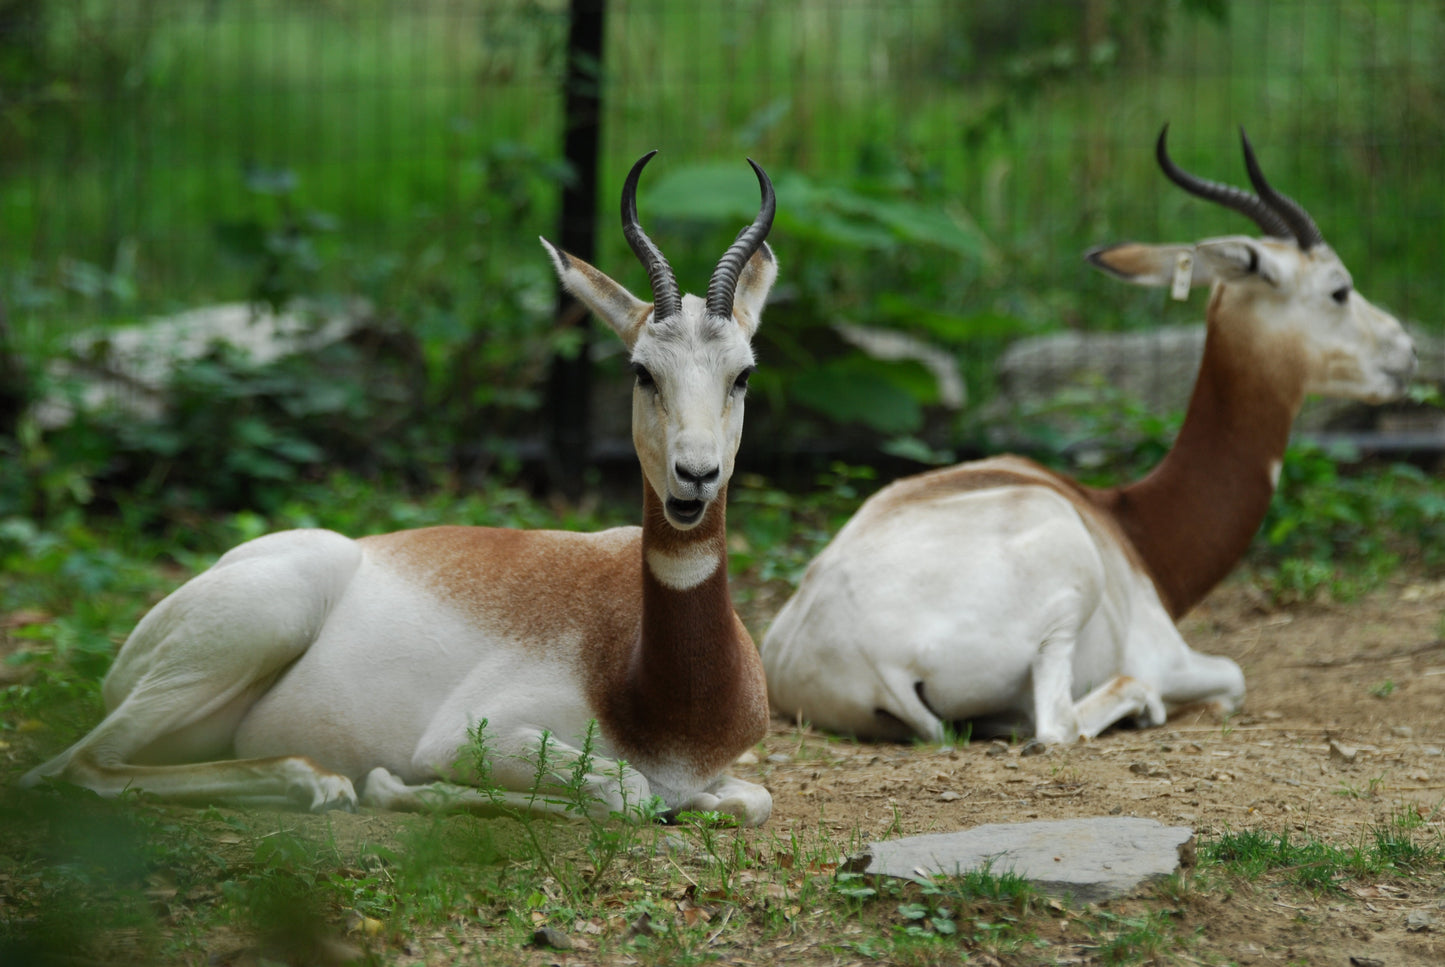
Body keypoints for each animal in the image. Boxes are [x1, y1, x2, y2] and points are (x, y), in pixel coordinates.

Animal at [20, 152, 778, 825]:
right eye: (641, 371)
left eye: (742, 373)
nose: (695, 476)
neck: (649, 688)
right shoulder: (473, 734)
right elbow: (624, 790)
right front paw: (405, 787)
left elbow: (749, 800)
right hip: (263, 616)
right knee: (69, 768)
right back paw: (323, 782)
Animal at [761, 128, 1417, 746]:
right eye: (1339, 289)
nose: (1408, 352)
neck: (1132, 529)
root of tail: (840, 656)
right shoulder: (1171, 655)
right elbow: (1233, 677)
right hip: (1069, 586)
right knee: (1056, 727)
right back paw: (1139, 707)